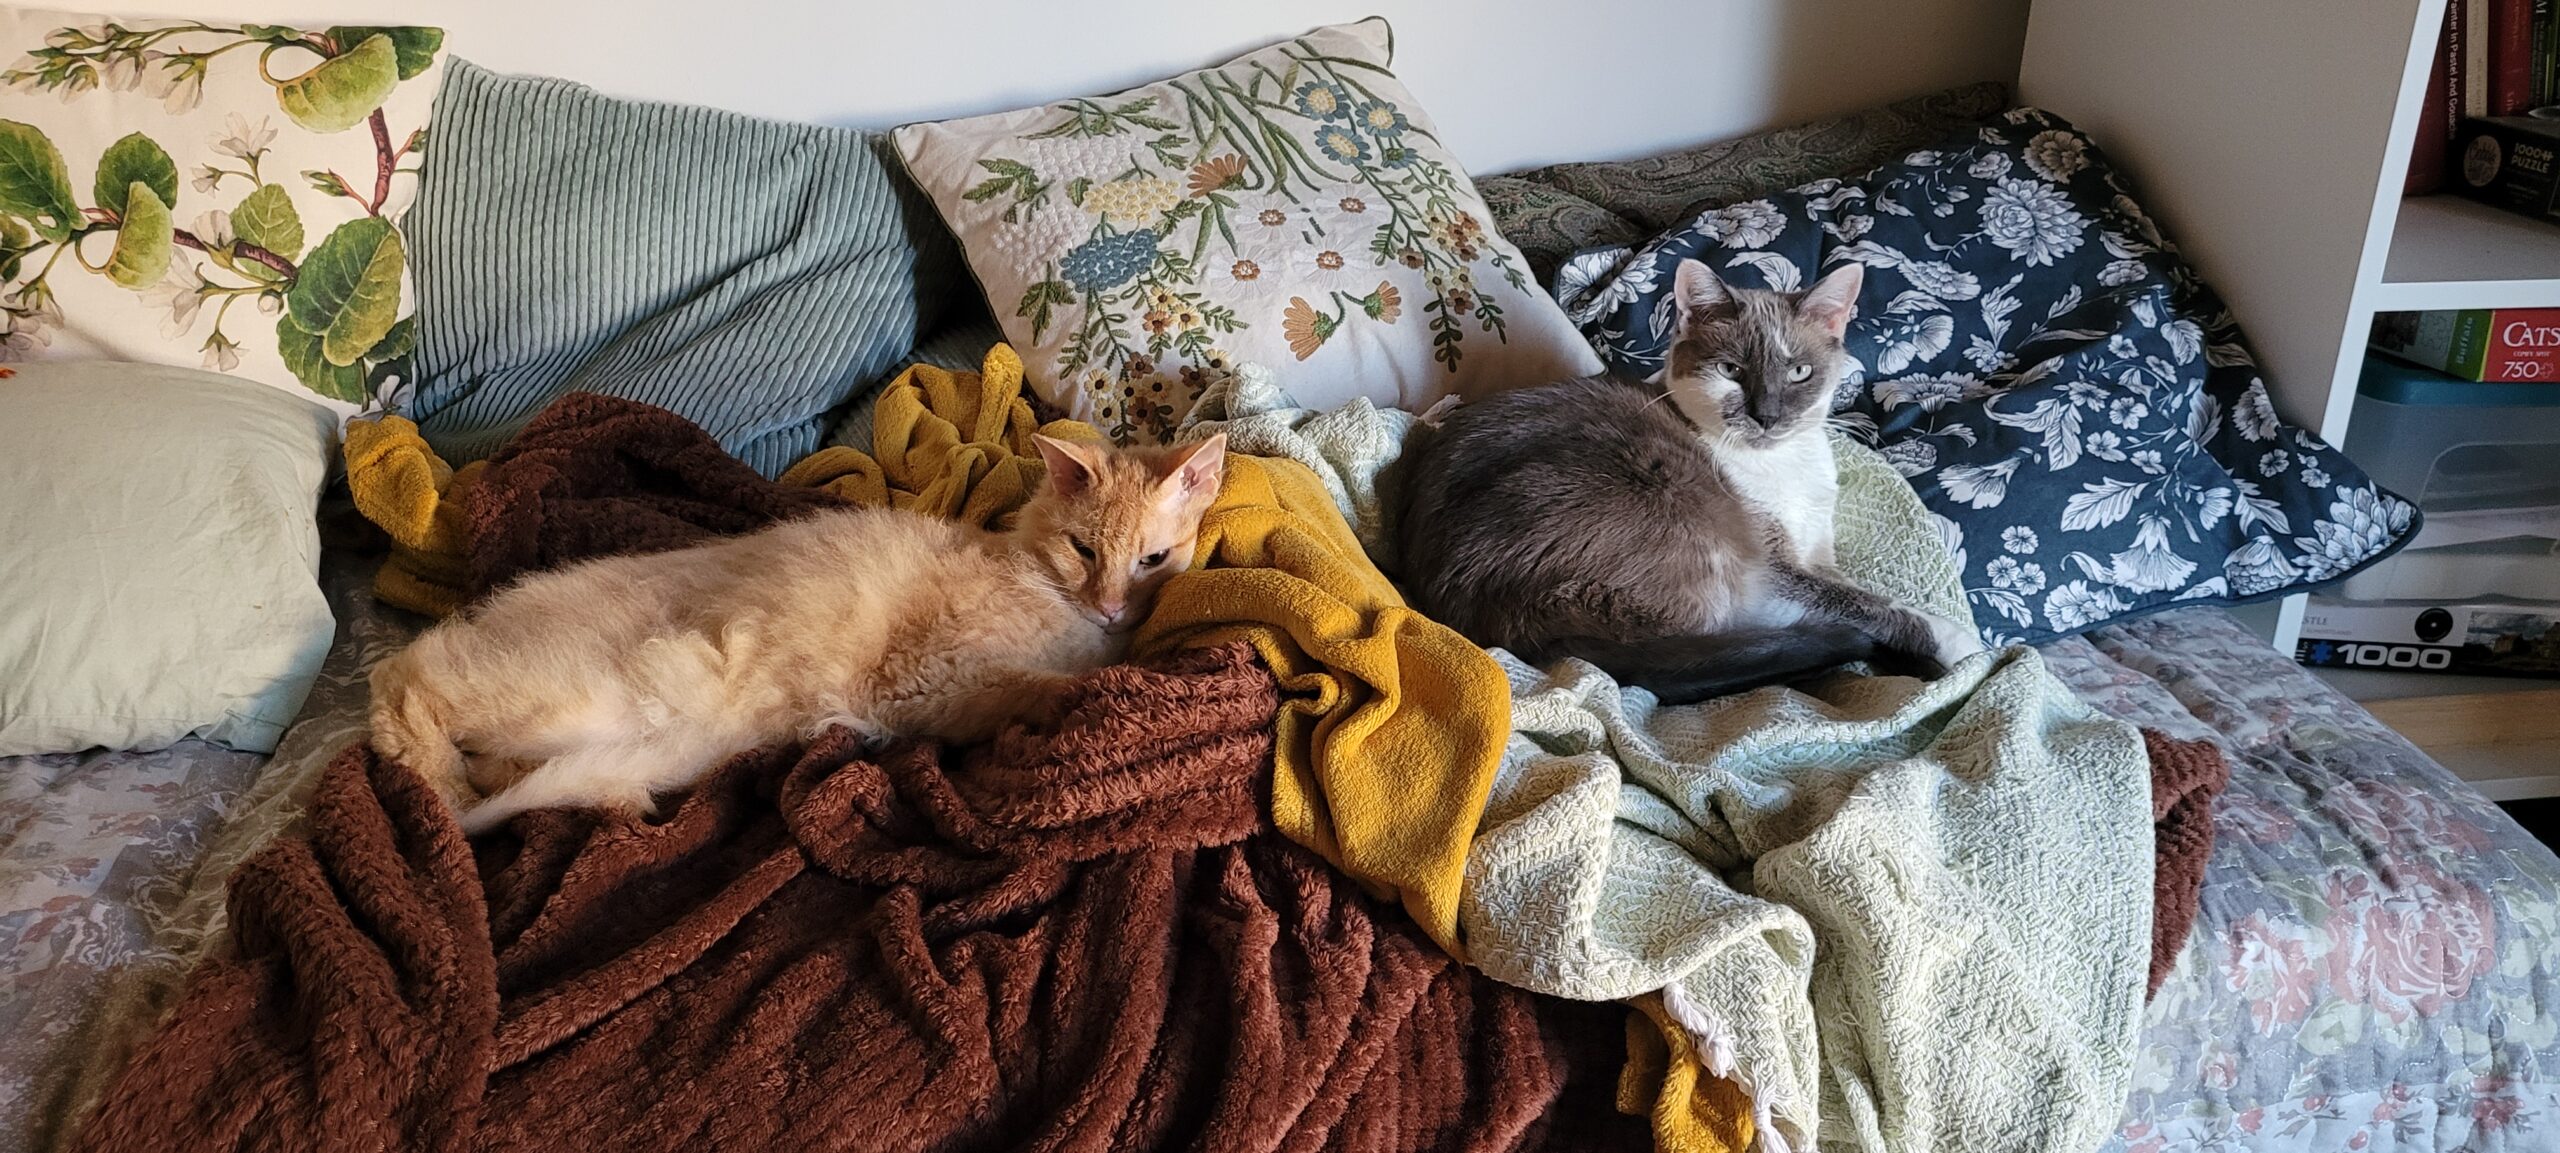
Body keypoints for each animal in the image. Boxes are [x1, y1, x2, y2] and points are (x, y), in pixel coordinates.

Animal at [368, 433, 1228, 830]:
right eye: (1084, 550)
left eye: (1152, 560)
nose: (1111, 605)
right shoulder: (925, 679)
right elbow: (1040, 687)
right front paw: (1099, 686)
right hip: (568, 687)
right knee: (405, 679)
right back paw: (438, 792)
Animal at [1402, 257, 1976, 702]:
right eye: (1730, 370)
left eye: (1799, 373)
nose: (1767, 416)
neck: (1784, 466)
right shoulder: (1775, 572)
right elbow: (1878, 605)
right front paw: (1963, 646)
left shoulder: (1815, 556)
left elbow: (1858, 591)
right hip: (1684, 520)